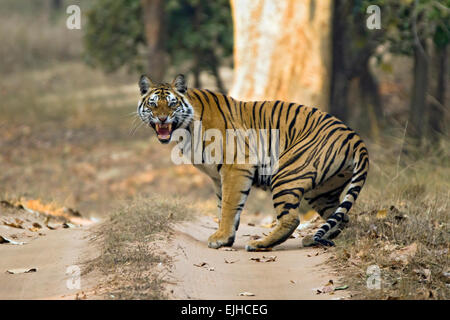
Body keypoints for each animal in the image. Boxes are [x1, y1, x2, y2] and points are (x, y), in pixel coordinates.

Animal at [137, 74, 370, 251]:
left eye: (172, 104)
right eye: (153, 104)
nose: (162, 119)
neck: (185, 130)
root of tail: (354, 137)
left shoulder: (236, 166)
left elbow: (229, 205)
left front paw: (221, 237)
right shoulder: (217, 177)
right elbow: (223, 205)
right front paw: (226, 237)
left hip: (286, 174)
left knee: (291, 219)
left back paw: (260, 244)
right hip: (321, 191)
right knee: (341, 217)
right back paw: (312, 239)